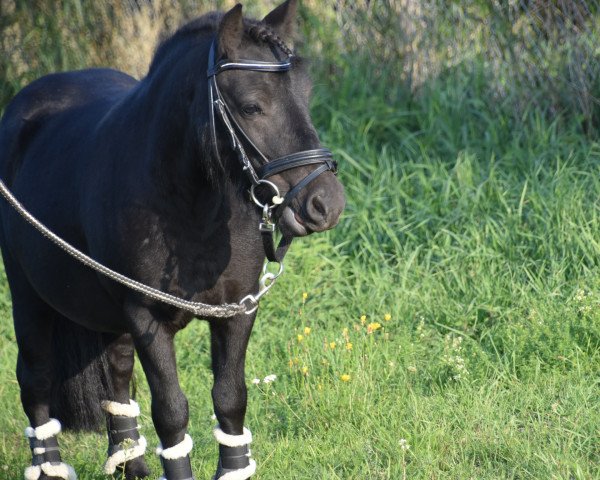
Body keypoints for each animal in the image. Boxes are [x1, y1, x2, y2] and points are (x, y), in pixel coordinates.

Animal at [0, 1, 344, 478]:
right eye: (252, 106)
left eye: (305, 96)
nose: (326, 204)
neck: (191, 205)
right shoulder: (146, 316)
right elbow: (171, 411)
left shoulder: (237, 310)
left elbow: (230, 399)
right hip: (28, 294)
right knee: (36, 378)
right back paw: (49, 464)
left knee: (117, 378)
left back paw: (131, 463)